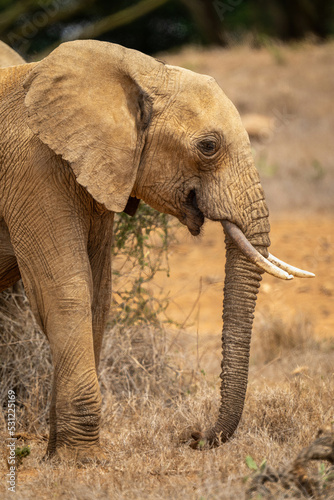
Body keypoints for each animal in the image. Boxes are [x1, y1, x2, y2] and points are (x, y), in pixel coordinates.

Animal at [0, 40, 314, 464]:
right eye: (208, 147)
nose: (194, 436)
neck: (140, 70)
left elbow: (98, 293)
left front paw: (58, 455)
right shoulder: (32, 170)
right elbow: (65, 291)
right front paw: (82, 461)